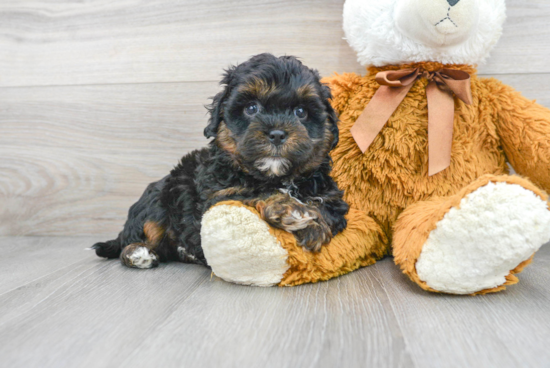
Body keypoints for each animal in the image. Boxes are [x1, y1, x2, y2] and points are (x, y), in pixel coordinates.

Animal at [90, 53, 350, 268]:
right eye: (251, 108)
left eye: (301, 112)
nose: (277, 134)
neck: (277, 177)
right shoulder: (217, 197)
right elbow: (253, 193)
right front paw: (292, 210)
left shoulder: (332, 198)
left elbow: (325, 209)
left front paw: (313, 226)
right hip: (157, 201)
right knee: (140, 235)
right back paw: (138, 253)